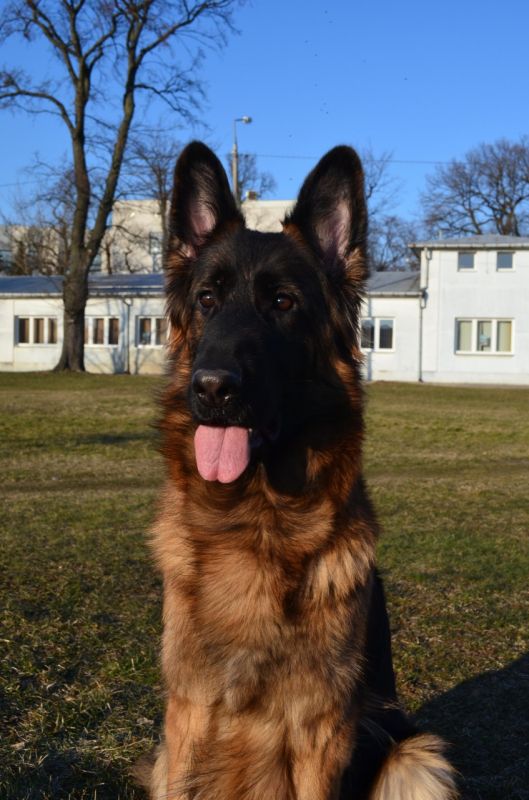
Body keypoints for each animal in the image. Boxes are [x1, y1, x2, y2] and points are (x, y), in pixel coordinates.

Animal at [143, 141, 457, 799]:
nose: (211, 389)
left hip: (416, 758)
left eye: (282, 303)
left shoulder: (322, 729)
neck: (255, 521)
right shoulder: (186, 716)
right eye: (206, 300)